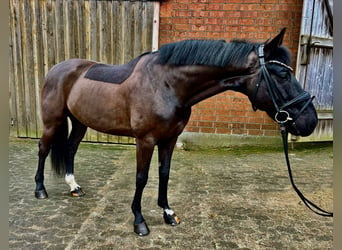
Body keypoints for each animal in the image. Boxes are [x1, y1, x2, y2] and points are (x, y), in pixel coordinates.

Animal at [34, 28, 318, 235]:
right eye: (282, 75)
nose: (310, 121)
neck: (166, 84)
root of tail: (57, 69)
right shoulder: (145, 140)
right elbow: (141, 178)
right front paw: (139, 221)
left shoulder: (169, 139)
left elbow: (164, 174)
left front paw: (168, 213)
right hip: (53, 121)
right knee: (43, 148)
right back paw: (40, 190)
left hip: (80, 122)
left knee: (71, 148)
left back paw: (74, 186)